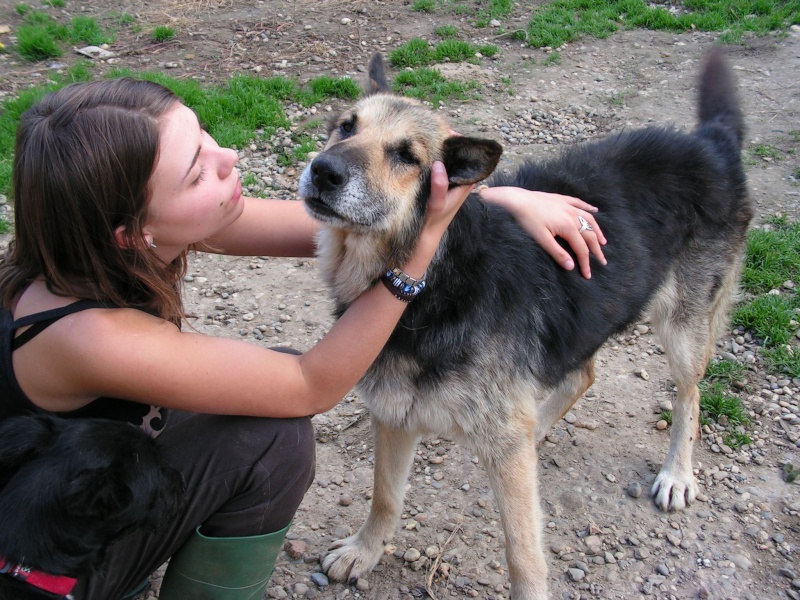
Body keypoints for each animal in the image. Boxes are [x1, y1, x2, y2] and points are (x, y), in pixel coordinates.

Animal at [298, 49, 752, 596]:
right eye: (346, 127)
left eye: (406, 156)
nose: (323, 171)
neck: (435, 281)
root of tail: (709, 142)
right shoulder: (394, 414)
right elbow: (385, 496)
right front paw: (364, 552)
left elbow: (521, 550)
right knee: (582, 375)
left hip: (683, 329)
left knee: (689, 396)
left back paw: (678, 474)